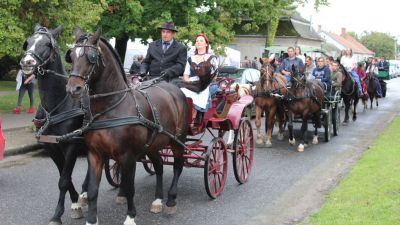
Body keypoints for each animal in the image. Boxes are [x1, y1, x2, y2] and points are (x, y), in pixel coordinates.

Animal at [19, 25, 88, 225]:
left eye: (47, 44)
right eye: (27, 42)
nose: (27, 62)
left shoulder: (71, 144)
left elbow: (64, 179)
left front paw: (57, 215)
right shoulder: (51, 146)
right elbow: (64, 176)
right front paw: (75, 202)